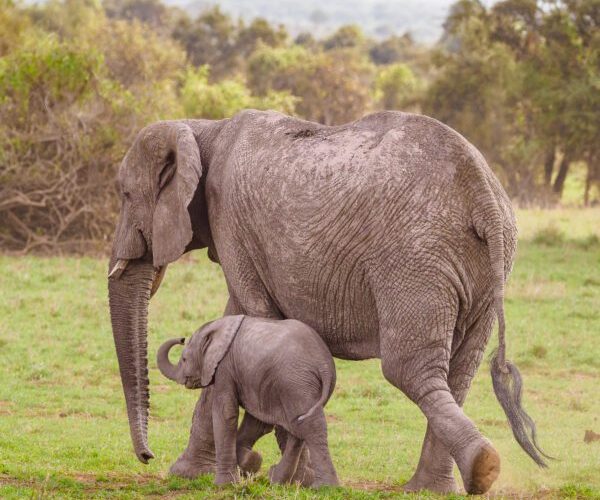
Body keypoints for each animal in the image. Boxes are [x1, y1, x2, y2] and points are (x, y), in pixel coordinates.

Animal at [157, 314, 340, 486]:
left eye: (184, 359)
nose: (181, 339)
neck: (218, 327)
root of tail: (324, 366)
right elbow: (256, 420)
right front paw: (250, 462)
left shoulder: (224, 367)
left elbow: (225, 412)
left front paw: (224, 484)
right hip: (295, 386)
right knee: (298, 425)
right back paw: (277, 479)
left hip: (295, 382)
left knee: (309, 426)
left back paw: (325, 487)